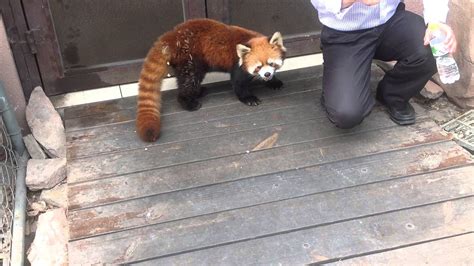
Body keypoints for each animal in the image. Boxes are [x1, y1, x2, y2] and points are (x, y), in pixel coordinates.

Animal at [135, 18, 286, 142]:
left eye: (271, 64)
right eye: (258, 67)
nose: (267, 74)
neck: (249, 39)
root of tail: (172, 35)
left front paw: (274, 81)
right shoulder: (236, 65)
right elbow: (238, 84)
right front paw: (249, 98)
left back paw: (199, 91)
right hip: (189, 58)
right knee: (189, 81)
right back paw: (189, 102)